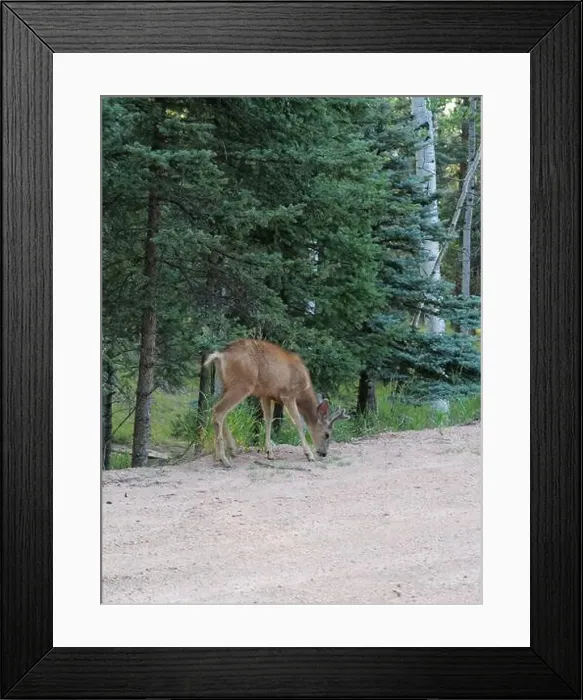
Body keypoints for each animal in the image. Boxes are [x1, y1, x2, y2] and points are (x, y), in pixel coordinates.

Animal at [204, 339, 350, 467]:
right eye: (327, 434)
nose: (324, 453)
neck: (303, 391)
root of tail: (220, 355)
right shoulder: (288, 394)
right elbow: (298, 422)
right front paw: (309, 454)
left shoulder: (266, 395)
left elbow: (268, 419)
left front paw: (269, 453)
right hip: (242, 384)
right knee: (218, 410)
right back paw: (223, 459)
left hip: (225, 384)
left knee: (219, 411)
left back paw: (231, 450)